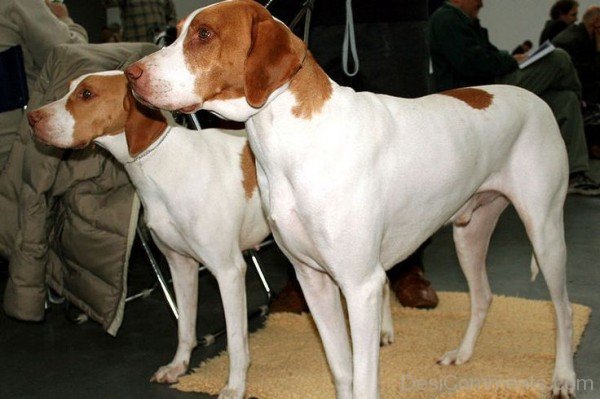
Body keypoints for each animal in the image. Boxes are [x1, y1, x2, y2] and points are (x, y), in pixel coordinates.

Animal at [27, 70, 270, 398]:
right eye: (68, 89)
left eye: (87, 94)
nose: (32, 118)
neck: (163, 165)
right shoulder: (181, 266)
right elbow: (185, 327)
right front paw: (178, 366)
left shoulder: (229, 271)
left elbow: (235, 342)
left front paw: (234, 387)